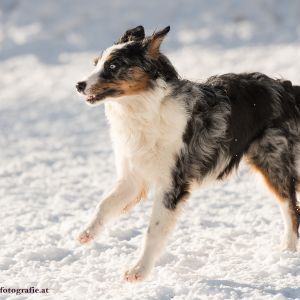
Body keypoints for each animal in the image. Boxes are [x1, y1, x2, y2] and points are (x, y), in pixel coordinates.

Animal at [77, 25, 300, 282]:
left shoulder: (172, 184)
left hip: (274, 163)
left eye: (113, 66)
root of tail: (285, 88)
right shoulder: (133, 177)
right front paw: (87, 233)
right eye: (96, 63)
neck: (143, 109)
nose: (78, 85)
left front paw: (139, 271)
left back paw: (288, 251)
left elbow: (153, 231)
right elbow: (104, 204)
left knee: (291, 208)